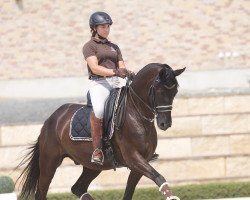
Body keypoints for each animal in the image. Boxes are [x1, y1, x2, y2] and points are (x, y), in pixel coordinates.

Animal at [17, 63, 186, 200]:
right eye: (159, 90)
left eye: (175, 91)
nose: (165, 124)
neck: (136, 114)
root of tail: (51, 119)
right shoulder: (133, 158)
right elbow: (158, 177)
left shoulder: (140, 162)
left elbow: (130, 192)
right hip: (49, 162)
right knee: (42, 192)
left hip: (92, 166)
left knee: (78, 188)